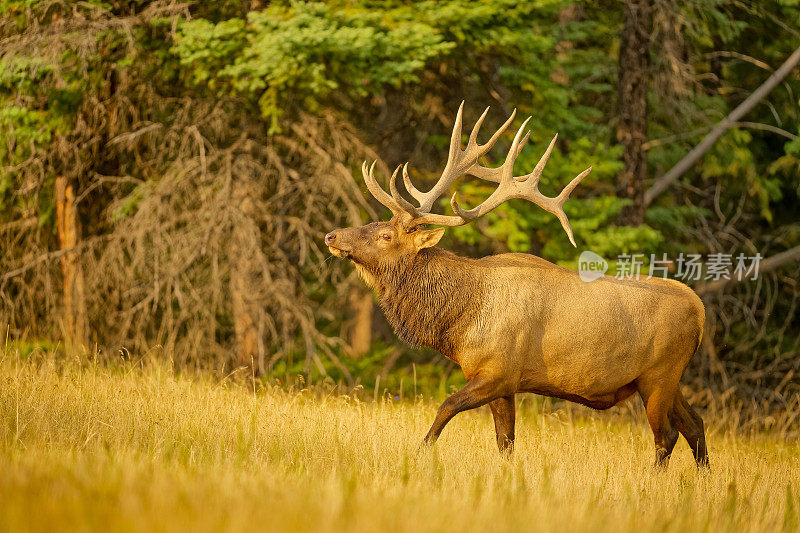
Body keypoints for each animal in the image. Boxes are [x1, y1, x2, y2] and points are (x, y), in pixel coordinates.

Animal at [324, 104, 708, 466]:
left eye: (386, 235)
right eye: (374, 223)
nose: (331, 236)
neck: (458, 321)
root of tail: (700, 310)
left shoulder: (499, 372)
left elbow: (445, 408)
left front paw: (418, 454)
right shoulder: (502, 383)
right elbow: (505, 442)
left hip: (659, 376)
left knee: (667, 435)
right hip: (669, 381)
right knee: (695, 424)